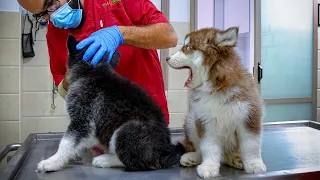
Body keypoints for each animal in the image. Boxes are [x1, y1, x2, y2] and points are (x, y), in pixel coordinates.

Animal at [37, 34, 185, 173]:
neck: (92, 70)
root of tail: (165, 151)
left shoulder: (82, 121)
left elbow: (66, 143)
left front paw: (52, 162)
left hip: (127, 130)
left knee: (137, 161)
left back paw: (105, 160)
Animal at [166, 26, 266, 179]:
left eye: (187, 47)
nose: (167, 58)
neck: (216, 87)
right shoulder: (205, 121)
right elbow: (208, 147)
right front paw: (209, 167)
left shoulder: (249, 114)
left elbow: (251, 144)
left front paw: (254, 164)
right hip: (191, 120)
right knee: (201, 148)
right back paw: (192, 157)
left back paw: (236, 158)